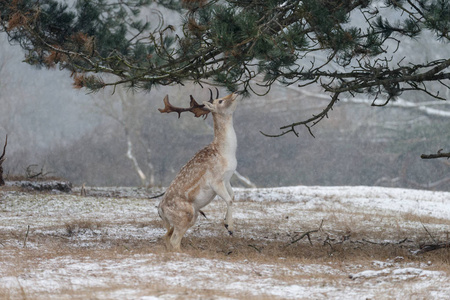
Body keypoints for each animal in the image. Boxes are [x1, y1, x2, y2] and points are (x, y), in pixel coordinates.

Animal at [157, 89, 239, 251]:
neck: (226, 153)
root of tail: (160, 211)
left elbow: (232, 197)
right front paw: (230, 228)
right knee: (174, 240)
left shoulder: (227, 178)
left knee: (167, 237)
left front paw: (226, 223)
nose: (235, 93)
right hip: (186, 214)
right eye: (220, 101)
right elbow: (228, 200)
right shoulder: (215, 181)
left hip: (192, 216)